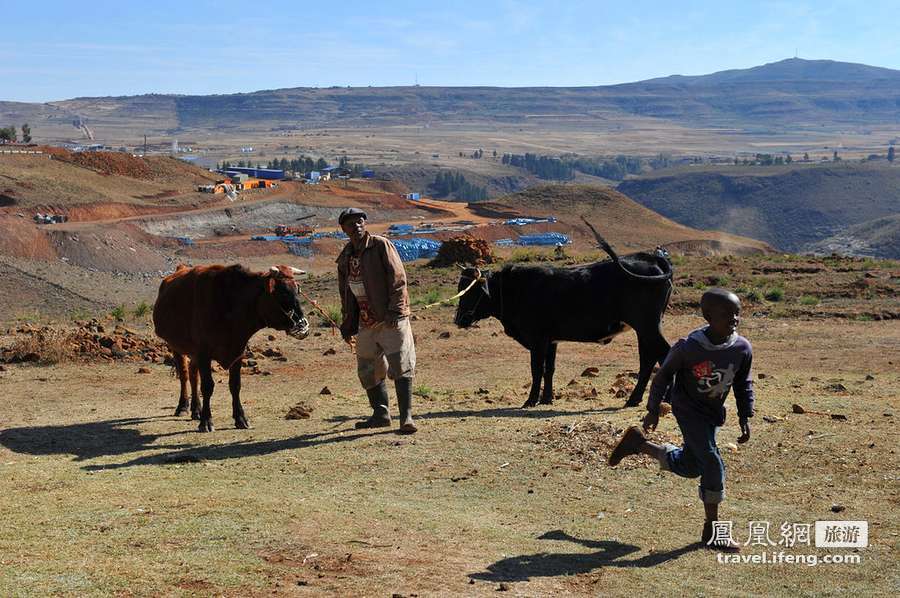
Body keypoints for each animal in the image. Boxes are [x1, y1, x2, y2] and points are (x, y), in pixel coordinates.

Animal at [153, 264, 312, 434]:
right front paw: (206, 421)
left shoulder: (237, 352)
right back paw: (183, 407)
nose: (303, 326)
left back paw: (196, 410)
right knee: (184, 375)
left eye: (297, 290)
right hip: (176, 346)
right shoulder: (203, 354)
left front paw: (240, 418)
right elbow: (207, 386)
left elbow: (235, 385)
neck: (229, 305)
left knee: (193, 374)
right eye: (282, 292)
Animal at [454, 223, 672, 410]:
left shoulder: (537, 339)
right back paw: (635, 399)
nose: (459, 320)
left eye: (472, 291)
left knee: (663, 353)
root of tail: (652, 259)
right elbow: (549, 369)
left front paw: (531, 400)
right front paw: (547, 398)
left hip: (647, 327)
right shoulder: (551, 341)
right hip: (645, 329)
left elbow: (537, 369)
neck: (514, 289)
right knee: (649, 359)